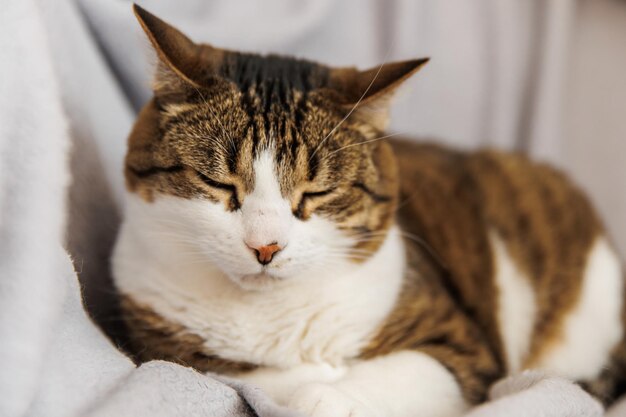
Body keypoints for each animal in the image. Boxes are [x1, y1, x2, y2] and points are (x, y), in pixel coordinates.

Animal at [112, 4, 624, 416]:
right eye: (218, 183)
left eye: (316, 193)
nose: (265, 247)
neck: (275, 316)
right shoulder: (160, 338)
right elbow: (242, 373)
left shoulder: (459, 345)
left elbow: (391, 375)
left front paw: (323, 396)